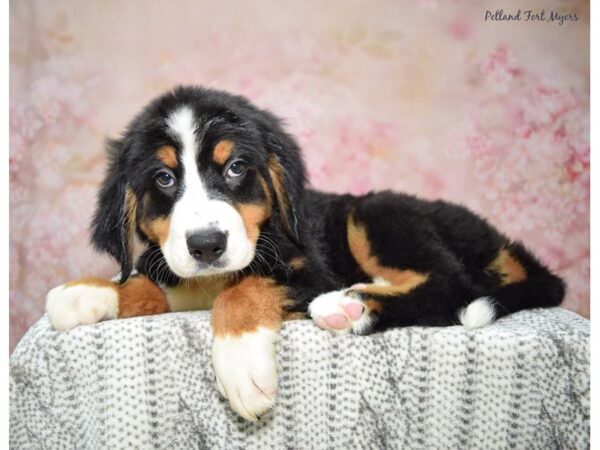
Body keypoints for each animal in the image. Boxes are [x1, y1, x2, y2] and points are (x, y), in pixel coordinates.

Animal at [44, 85, 564, 422]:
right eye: (164, 178)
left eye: (236, 168)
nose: (207, 244)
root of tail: (497, 240)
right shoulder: (179, 272)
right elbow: (147, 281)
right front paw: (85, 293)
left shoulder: (308, 269)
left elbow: (245, 289)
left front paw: (241, 367)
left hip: (376, 215)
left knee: (451, 286)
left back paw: (351, 305)